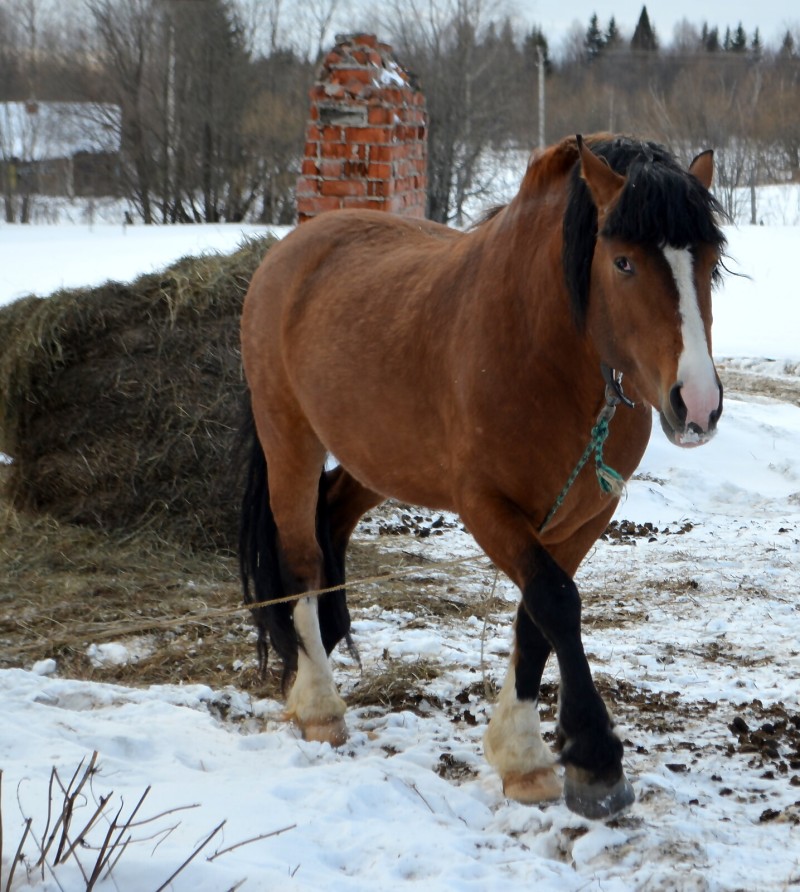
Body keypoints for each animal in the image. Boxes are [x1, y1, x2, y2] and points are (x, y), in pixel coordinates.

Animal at [236, 134, 724, 824]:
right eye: (624, 262)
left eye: (709, 261)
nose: (697, 405)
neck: (542, 348)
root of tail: (292, 249)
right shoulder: (486, 506)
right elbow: (556, 602)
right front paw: (592, 759)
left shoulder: (586, 514)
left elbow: (535, 619)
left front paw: (525, 759)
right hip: (291, 439)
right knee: (300, 556)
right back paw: (318, 704)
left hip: (381, 455)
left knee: (332, 516)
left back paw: (327, 646)